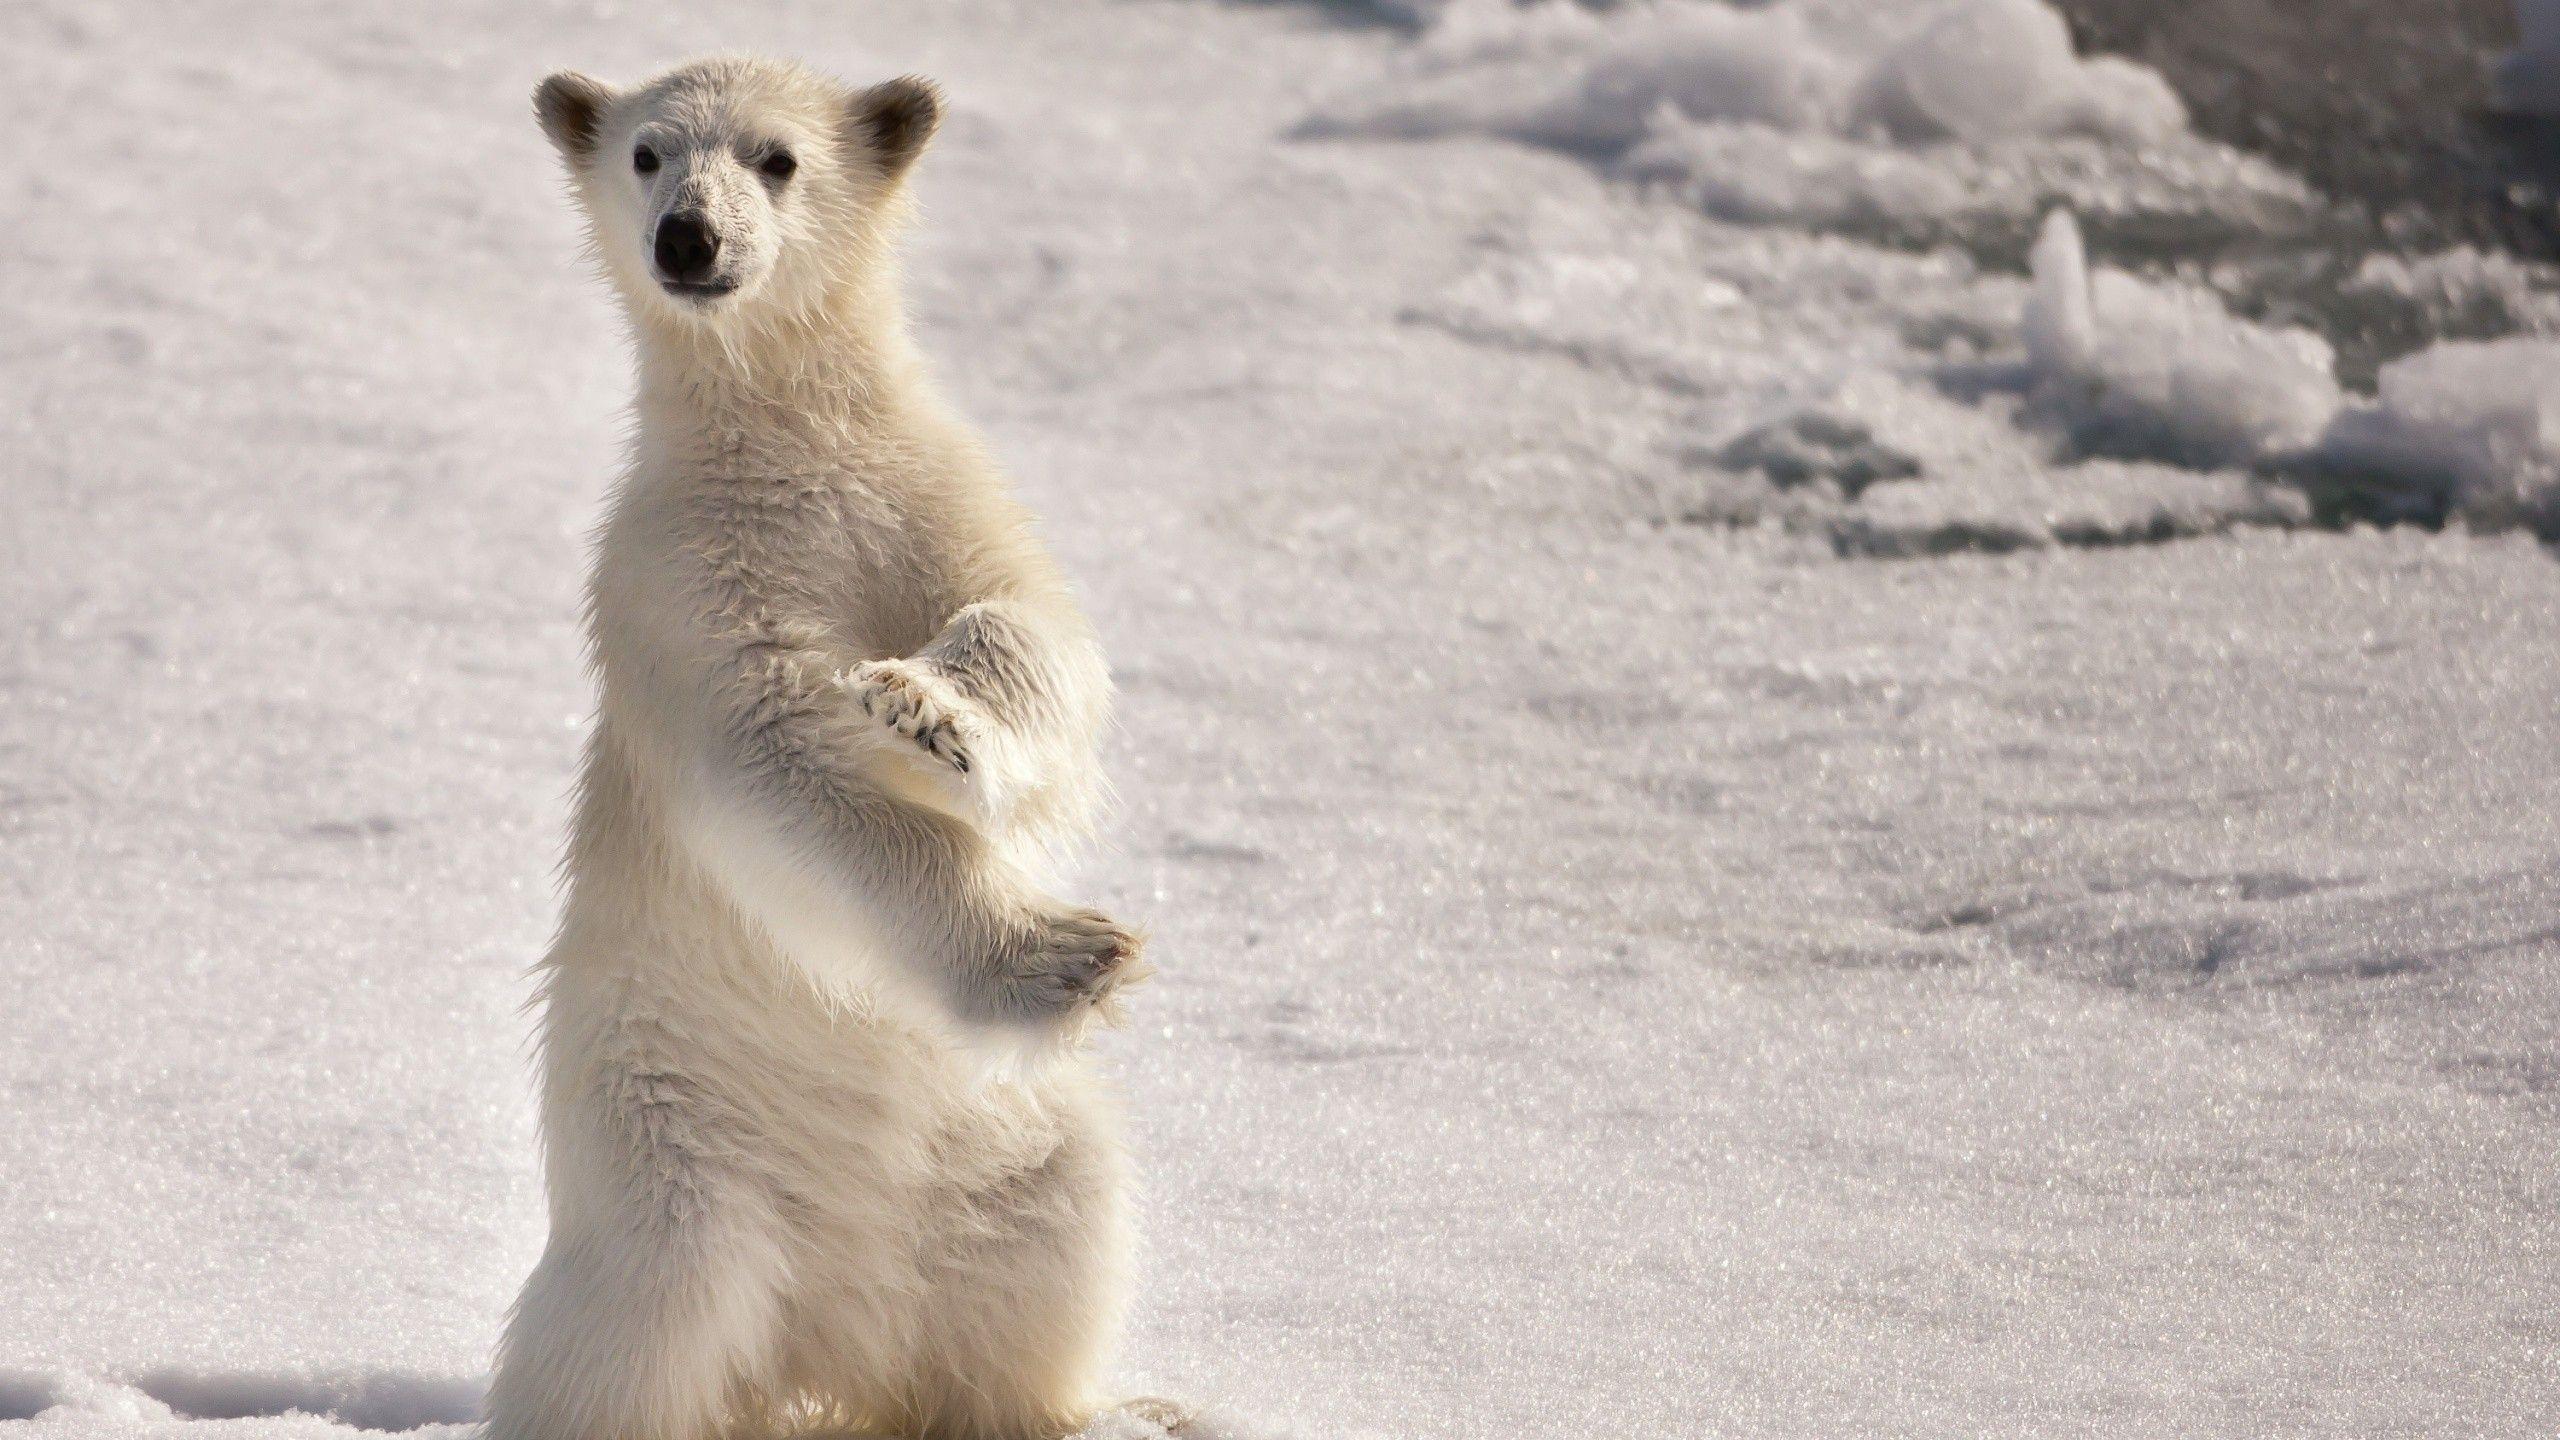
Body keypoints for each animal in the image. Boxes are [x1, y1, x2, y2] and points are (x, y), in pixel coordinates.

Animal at [485, 56, 1160, 1440]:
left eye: (779, 157)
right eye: (646, 152)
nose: (689, 238)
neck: (788, 443)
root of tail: (824, 1343)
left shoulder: (929, 493)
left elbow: (1035, 630)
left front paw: (930, 713)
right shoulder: (681, 577)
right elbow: (776, 761)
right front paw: (1062, 955)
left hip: (999, 1144)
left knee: (1053, 1235)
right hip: (668, 1141)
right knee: (639, 1325)